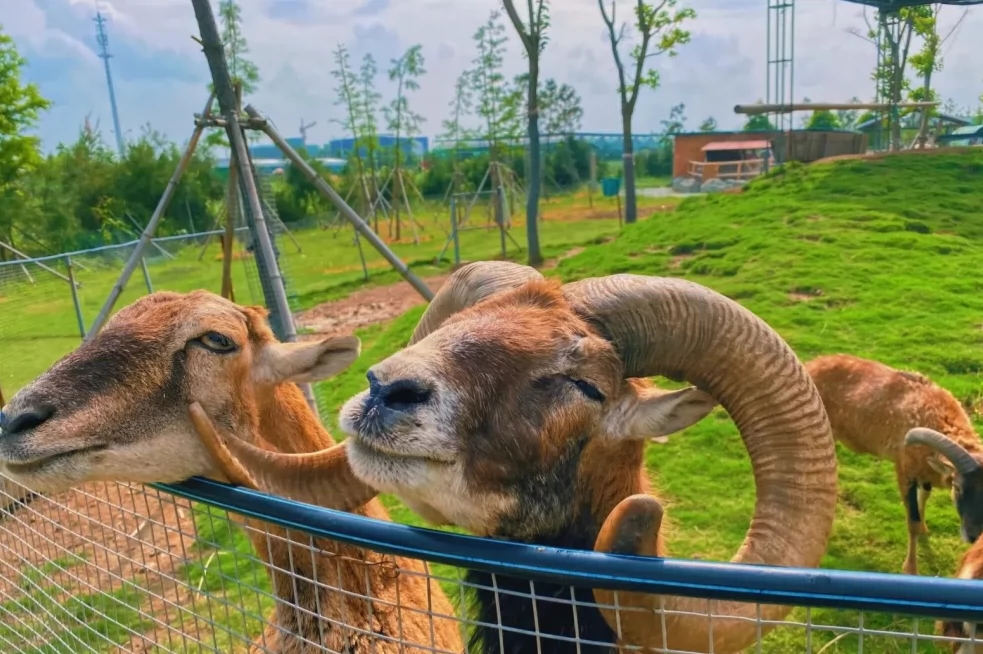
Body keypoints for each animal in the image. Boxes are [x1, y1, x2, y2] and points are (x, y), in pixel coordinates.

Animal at [808, 356, 983, 576]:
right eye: (957, 487)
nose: (974, 536)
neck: (934, 414)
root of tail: (809, 365)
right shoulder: (904, 471)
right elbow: (912, 522)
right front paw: (910, 569)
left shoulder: (925, 472)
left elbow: (924, 497)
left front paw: (925, 527)